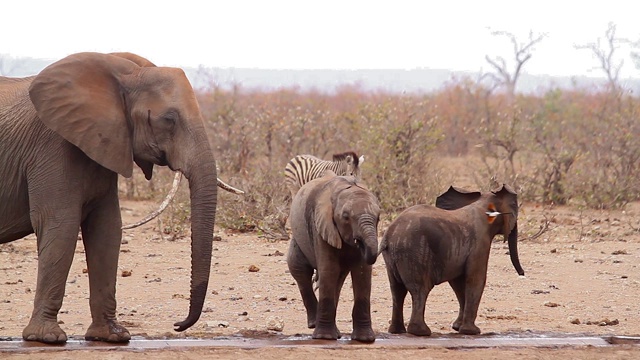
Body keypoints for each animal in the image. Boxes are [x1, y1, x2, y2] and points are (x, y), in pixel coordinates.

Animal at [0, 52, 220, 344]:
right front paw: (47, 338)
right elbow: (61, 225)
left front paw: (113, 336)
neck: (124, 76)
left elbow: (107, 228)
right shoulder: (51, 146)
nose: (177, 325)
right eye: (169, 119)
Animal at [288, 172, 382, 344]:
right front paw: (324, 338)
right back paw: (314, 325)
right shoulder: (321, 225)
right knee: (300, 269)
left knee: (338, 279)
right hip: (298, 238)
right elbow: (329, 269)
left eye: (378, 218)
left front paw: (365, 339)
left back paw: (335, 332)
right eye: (345, 217)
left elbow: (362, 273)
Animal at [378, 184, 524, 336]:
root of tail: (389, 235)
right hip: (413, 252)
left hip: (394, 258)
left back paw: (397, 331)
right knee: (420, 290)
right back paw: (421, 332)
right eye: (514, 207)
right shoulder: (480, 243)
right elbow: (476, 279)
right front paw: (472, 331)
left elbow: (458, 283)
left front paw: (457, 328)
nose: (522, 273)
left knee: (397, 290)